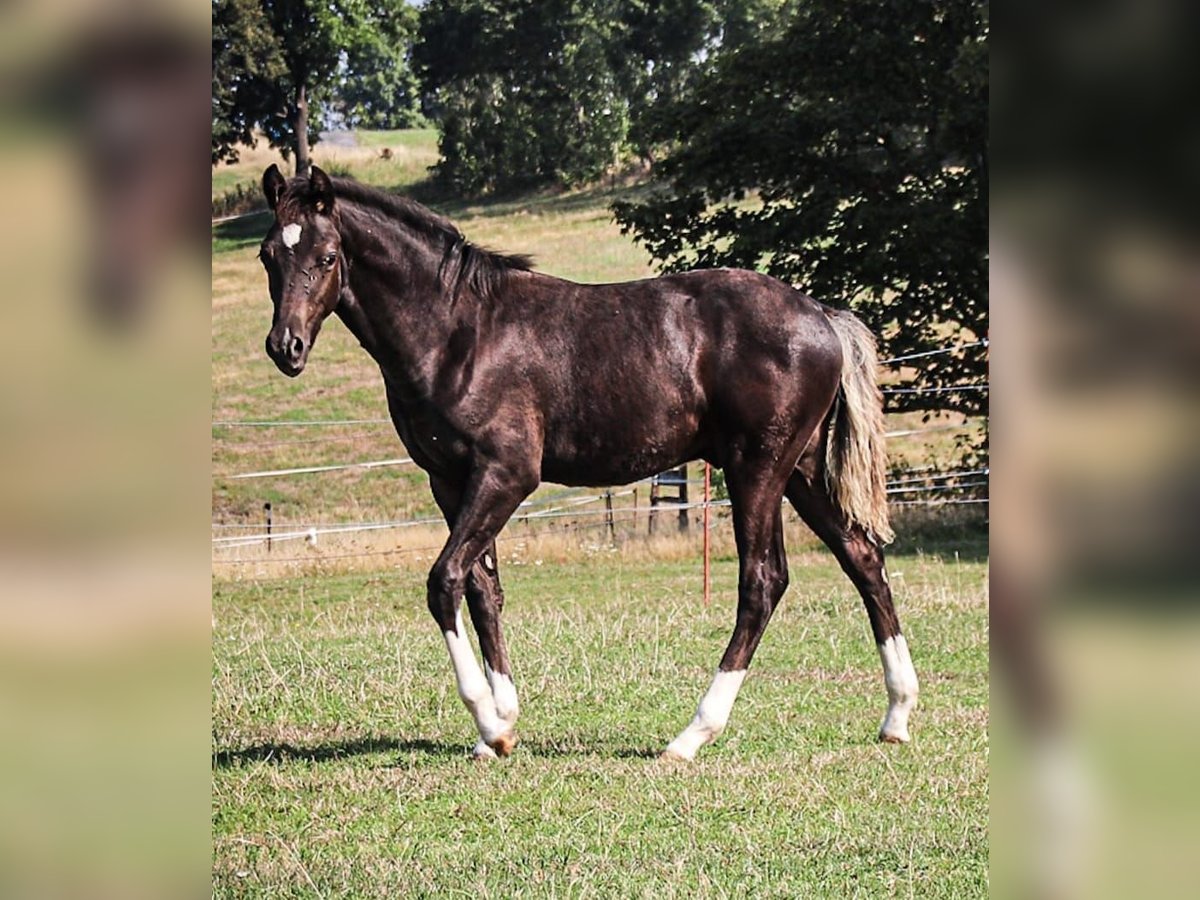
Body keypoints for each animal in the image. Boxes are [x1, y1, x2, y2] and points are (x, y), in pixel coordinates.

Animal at [260, 168, 916, 763]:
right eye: (270, 256)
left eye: (326, 256)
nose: (285, 347)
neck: (458, 332)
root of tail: (822, 315)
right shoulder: (449, 480)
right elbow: (483, 588)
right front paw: (501, 725)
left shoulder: (506, 475)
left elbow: (444, 580)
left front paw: (490, 723)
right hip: (800, 471)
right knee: (862, 560)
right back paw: (897, 715)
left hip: (757, 469)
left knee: (763, 581)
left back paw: (691, 736)